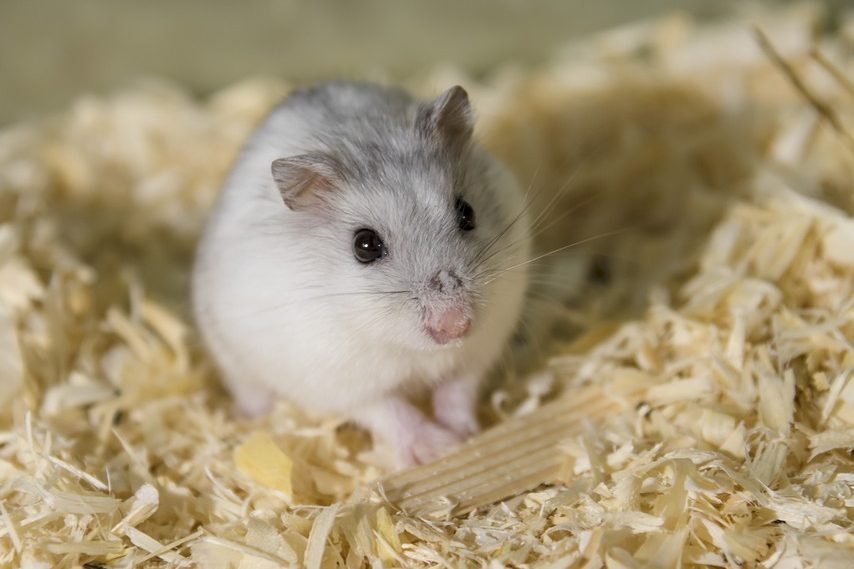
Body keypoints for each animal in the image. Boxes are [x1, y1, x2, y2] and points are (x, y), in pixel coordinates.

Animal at [192, 81, 531, 465]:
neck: (413, 350)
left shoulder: (482, 346)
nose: (455, 326)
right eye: (365, 245)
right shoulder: (341, 383)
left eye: (467, 212)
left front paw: (464, 433)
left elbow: (458, 387)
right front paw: (439, 446)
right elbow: (391, 411)